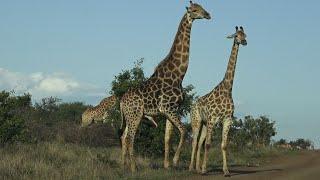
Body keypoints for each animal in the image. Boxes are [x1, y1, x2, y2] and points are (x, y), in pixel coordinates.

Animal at [119, 1, 211, 173]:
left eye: (202, 6)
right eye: (194, 10)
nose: (208, 14)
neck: (179, 74)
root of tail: (121, 101)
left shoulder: (172, 110)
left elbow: (167, 138)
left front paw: (167, 165)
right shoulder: (168, 108)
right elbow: (183, 131)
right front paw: (175, 161)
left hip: (131, 117)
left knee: (123, 137)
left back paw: (124, 165)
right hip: (135, 116)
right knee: (129, 138)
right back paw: (134, 168)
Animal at [188, 26, 248, 176]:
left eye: (245, 35)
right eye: (236, 35)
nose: (244, 42)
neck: (227, 89)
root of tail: (192, 105)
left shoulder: (227, 119)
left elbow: (224, 145)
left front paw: (226, 171)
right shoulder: (213, 118)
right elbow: (209, 144)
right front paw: (205, 169)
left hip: (204, 123)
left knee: (199, 142)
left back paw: (197, 168)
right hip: (196, 121)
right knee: (194, 142)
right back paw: (192, 168)